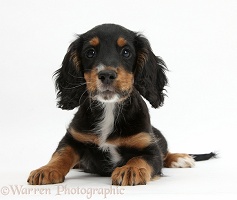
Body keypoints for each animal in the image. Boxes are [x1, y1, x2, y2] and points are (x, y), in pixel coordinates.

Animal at [27, 23, 215, 186]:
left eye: (126, 52)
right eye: (90, 52)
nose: (106, 75)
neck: (109, 108)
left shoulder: (148, 146)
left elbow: (141, 158)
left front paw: (130, 170)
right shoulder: (73, 137)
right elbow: (60, 154)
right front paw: (46, 170)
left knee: (165, 153)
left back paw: (180, 158)